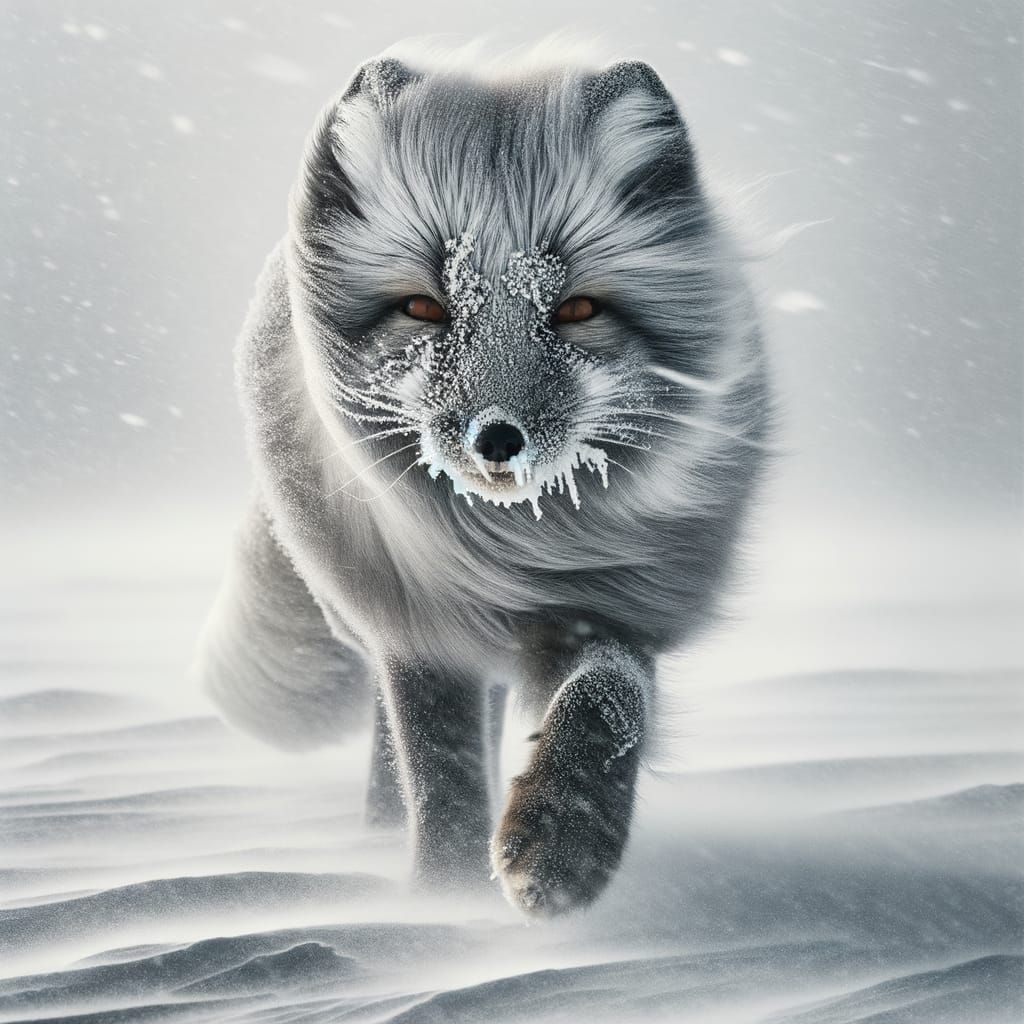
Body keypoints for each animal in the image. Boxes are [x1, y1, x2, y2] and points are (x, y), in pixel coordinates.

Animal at [194, 44, 770, 916]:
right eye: (425, 308)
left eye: (577, 311)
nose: (498, 438)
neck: (511, 553)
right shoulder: (419, 632)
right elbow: (441, 774)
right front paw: (445, 903)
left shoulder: (615, 611)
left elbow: (607, 703)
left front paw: (562, 843)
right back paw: (376, 835)